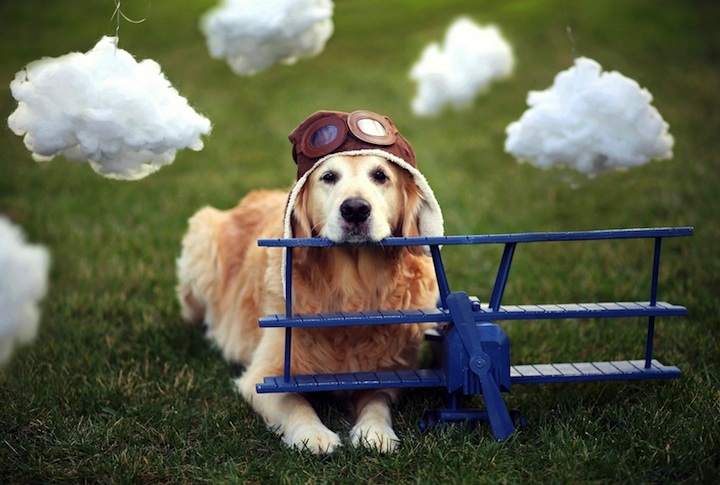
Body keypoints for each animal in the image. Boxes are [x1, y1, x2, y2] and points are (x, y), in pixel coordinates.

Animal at [177, 109, 442, 454]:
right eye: (328, 177)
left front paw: (375, 431)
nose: (355, 209)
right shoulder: (264, 371)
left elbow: (377, 399)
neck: (352, 291)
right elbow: (293, 401)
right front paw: (312, 433)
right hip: (201, 237)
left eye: (380, 175)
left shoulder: (391, 369)